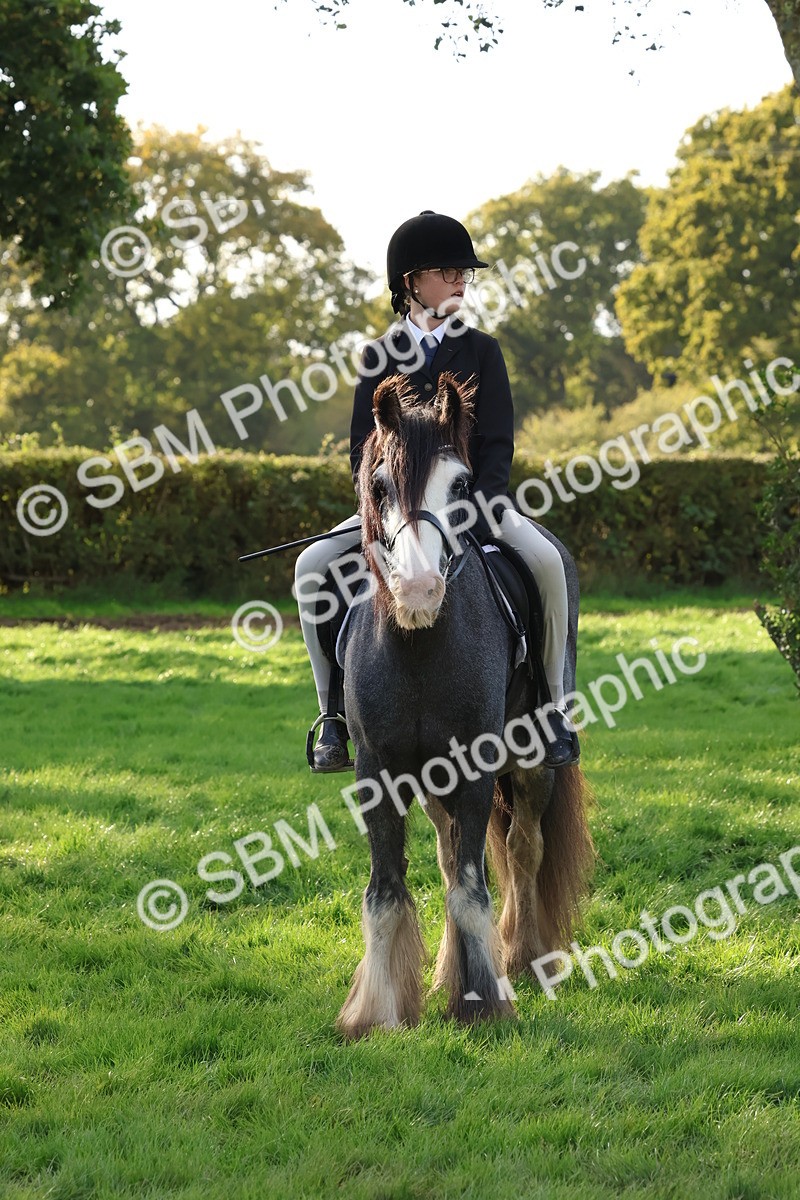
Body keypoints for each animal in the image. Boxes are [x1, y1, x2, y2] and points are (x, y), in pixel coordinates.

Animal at [335, 371, 594, 1039]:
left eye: (460, 485)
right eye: (379, 483)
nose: (419, 590)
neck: (420, 646)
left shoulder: (476, 766)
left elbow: (475, 885)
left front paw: (481, 1002)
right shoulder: (378, 771)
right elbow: (386, 888)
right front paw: (379, 1011)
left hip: (531, 760)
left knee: (523, 849)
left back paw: (526, 958)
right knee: (450, 855)